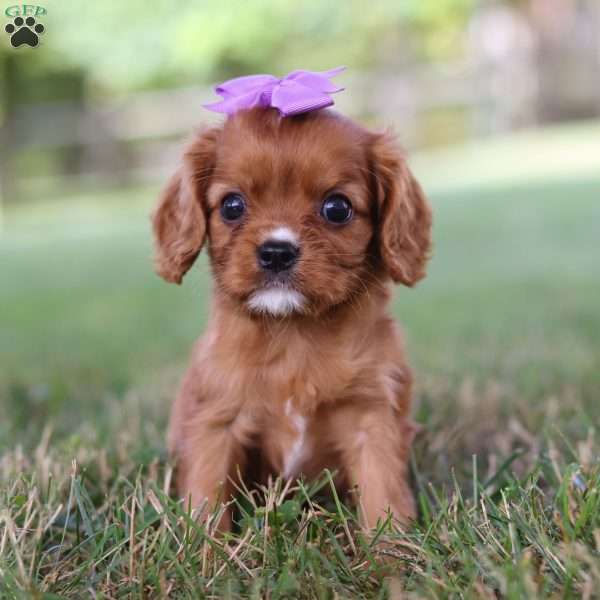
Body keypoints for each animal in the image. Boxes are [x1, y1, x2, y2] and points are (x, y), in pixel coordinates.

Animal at [152, 106, 428, 528]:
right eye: (232, 206)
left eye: (337, 208)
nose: (277, 252)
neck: (292, 332)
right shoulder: (216, 422)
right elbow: (206, 498)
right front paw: (203, 545)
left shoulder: (373, 418)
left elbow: (383, 497)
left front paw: (391, 547)